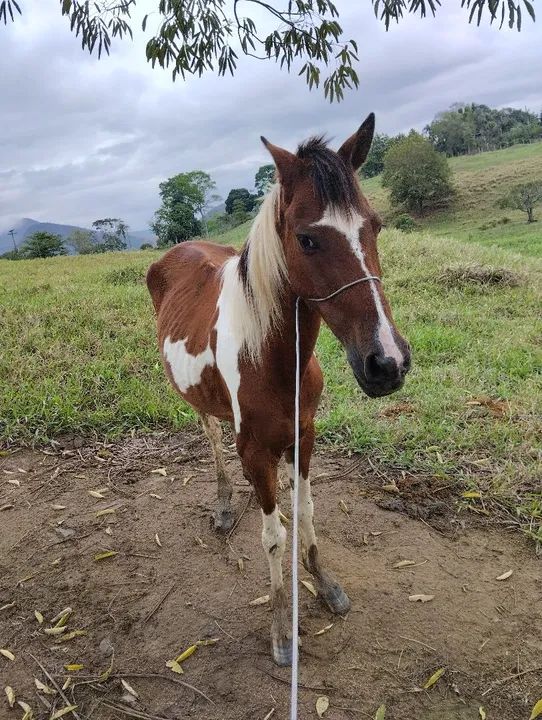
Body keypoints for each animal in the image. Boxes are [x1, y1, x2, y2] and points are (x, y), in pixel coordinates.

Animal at [146, 113, 411, 667]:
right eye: (307, 240)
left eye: (374, 226)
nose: (387, 363)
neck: (272, 359)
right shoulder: (255, 451)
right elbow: (272, 536)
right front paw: (280, 628)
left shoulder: (304, 435)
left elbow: (306, 510)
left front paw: (324, 581)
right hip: (197, 402)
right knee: (211, 436)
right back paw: (225, 502)